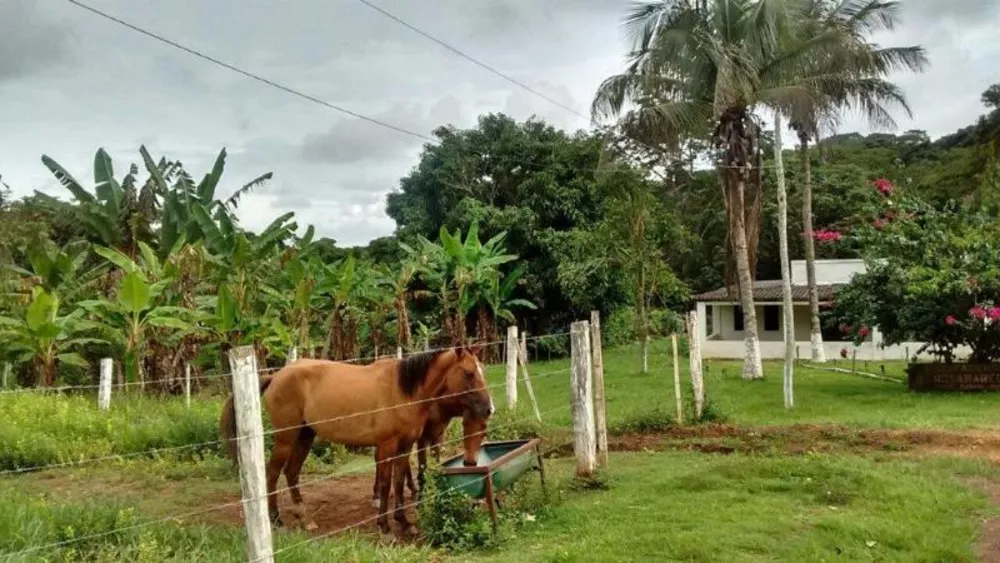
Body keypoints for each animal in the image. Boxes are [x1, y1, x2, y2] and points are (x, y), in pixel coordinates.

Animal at [223, 348, 496, 536]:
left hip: (305, 436)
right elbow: (385, 484)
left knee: (291, 472)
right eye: (469, 373)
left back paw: (305, 517)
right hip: (286, 438)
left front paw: (404, 522)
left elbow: (399, 482)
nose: (489, 408)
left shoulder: (405, 446)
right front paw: (385, 527)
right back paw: (275, 519)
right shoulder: (386, 446)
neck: (403, 391)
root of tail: (277, 375)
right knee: (272, 473)